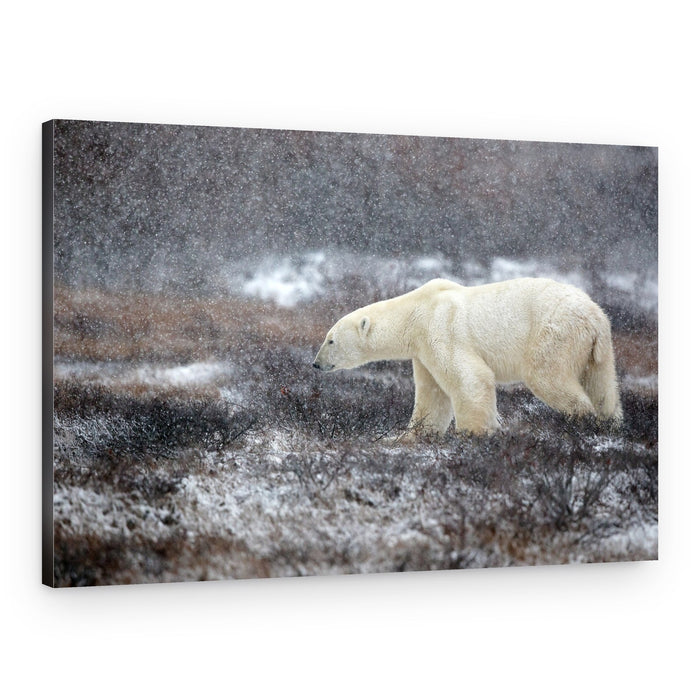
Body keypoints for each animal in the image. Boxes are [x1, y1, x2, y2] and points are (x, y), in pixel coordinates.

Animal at [312, 277, 622, 436]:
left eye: (330, 339)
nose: (315, 363)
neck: (417, 310)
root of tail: (594, 317)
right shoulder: (423, 350)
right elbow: (433, 395)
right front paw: (411, 437)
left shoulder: (441, 328)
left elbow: (469, 379)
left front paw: (474, 434)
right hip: (596, 349)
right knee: (603, 385)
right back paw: (610, 424)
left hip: (554, 333)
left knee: (547, 375)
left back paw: (580, 421)